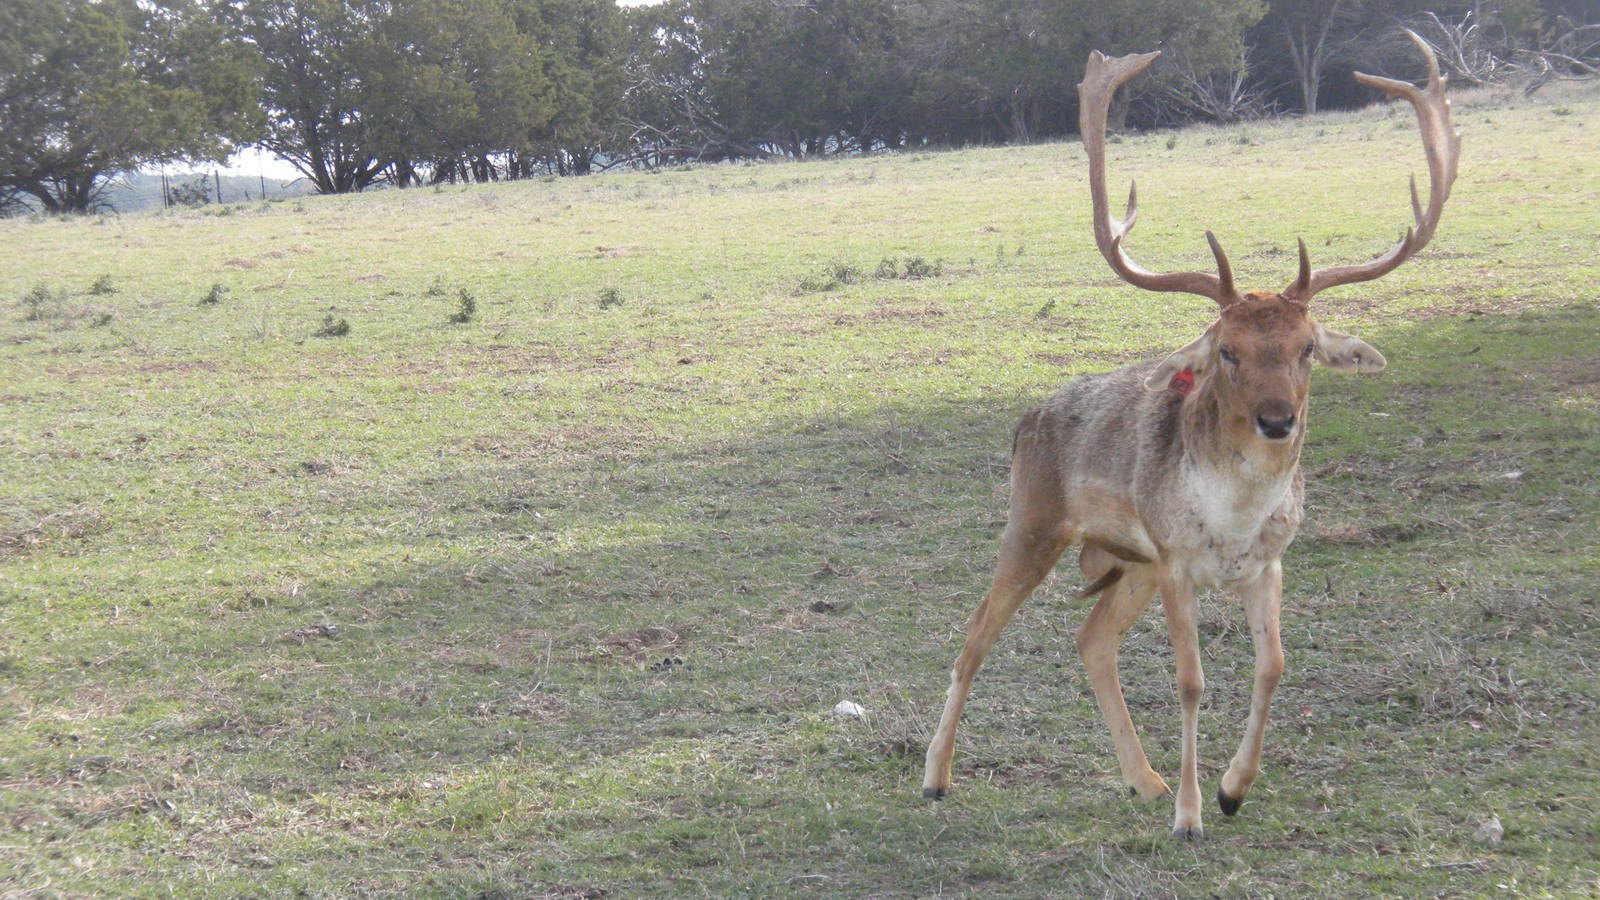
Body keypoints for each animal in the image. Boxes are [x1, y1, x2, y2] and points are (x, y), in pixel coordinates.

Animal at [921, 32, 1460, 840]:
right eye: (1227, 350)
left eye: (1306, 348)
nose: (1278, 419)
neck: (1233, 520)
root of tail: (1026, 420)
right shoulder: (1177, 561)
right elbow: (1190, 680)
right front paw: (1190, 813)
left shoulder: (1266, 563)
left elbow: (1273, 666)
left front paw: (1233, 789)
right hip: (1035, 524)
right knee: (975, 632)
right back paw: (937, 778)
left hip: (1129, 563)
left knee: (1091, 637)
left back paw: (1139, 779)